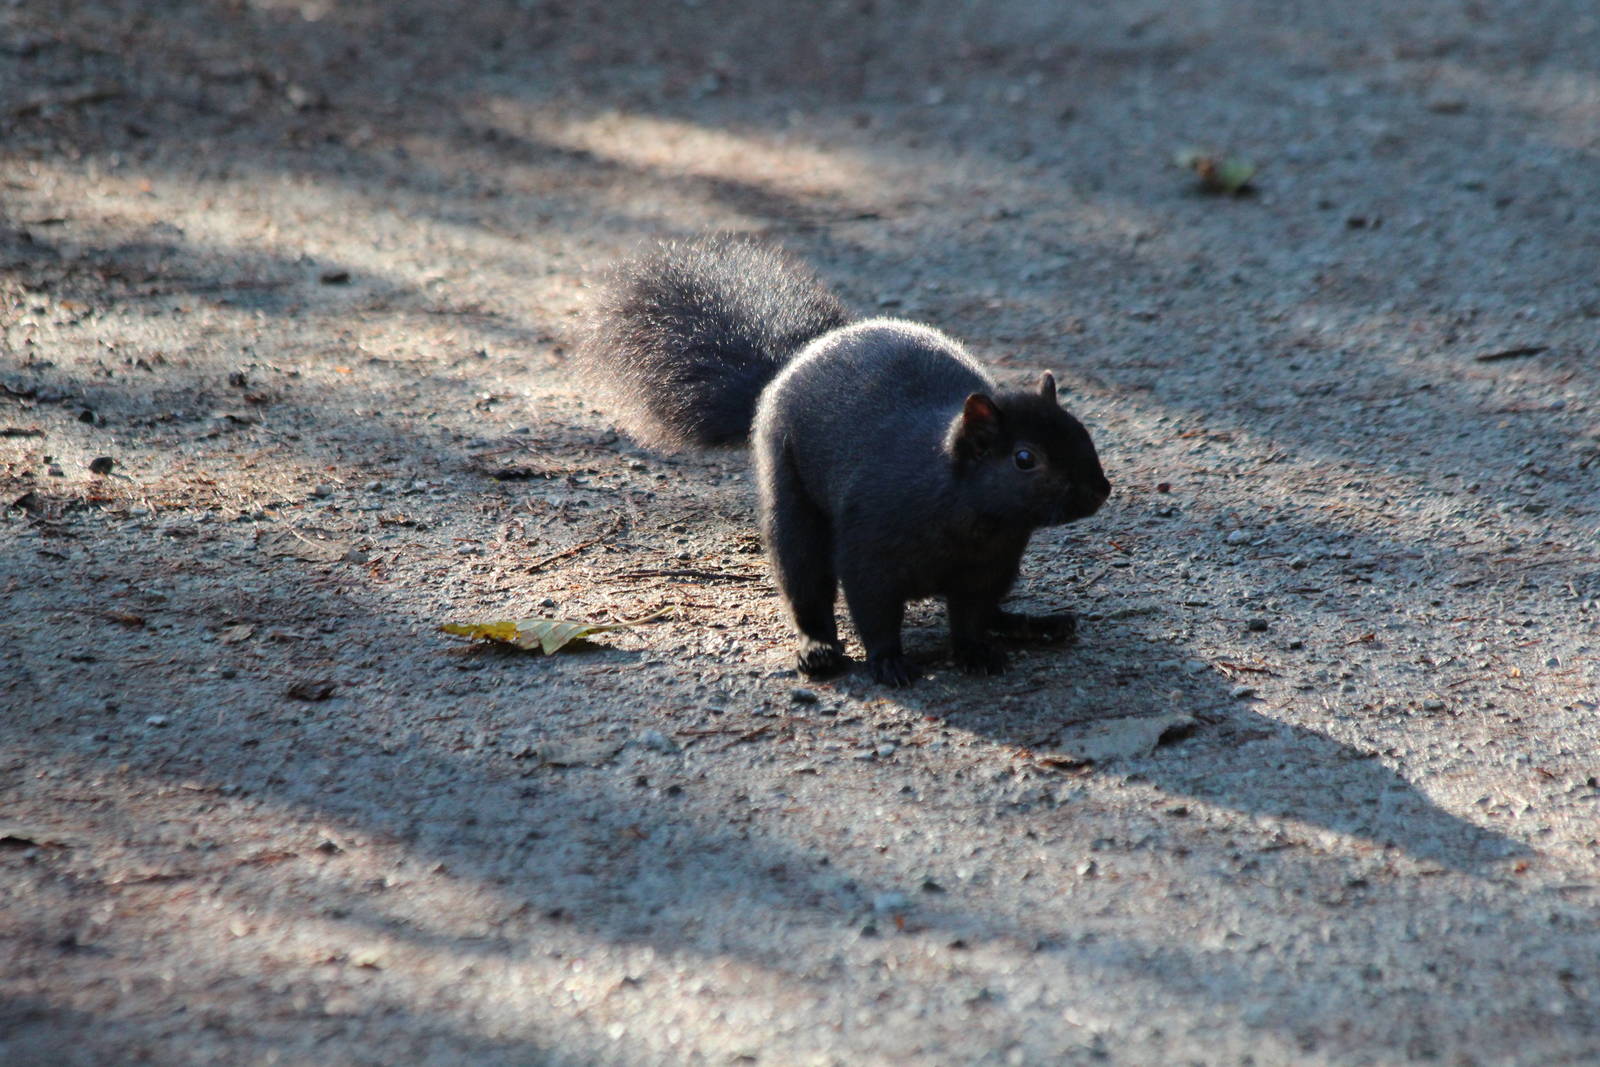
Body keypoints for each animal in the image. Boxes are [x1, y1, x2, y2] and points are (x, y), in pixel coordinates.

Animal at [578, 234, 1111, 686]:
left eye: (1082, 431)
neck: (971, 516)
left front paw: (975, 651)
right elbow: (874, 611)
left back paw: (1032, 624)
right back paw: (817, 650)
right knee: (807, 589)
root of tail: (797, 357)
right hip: (793, 509)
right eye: (1024, 458)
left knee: (995, 609)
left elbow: (971, 616)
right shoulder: (869, 552)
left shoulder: (990, 566)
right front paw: (889, 662)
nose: (1100, 491)